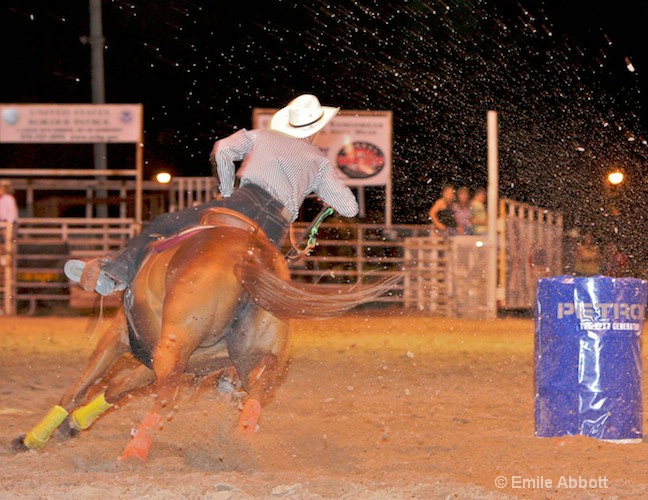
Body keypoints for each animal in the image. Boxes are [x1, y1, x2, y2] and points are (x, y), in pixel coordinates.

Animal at [13, 207, 400, 460]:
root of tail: (249, 254)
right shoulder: (170, 362)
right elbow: (116, 388)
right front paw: (74, 426)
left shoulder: (121, 337)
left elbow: (80, 388)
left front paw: (34, 439)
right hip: (243, 353)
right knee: (258, 390)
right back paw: (241, 440)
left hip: (174, 344)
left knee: (167, 393)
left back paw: (136, 449)